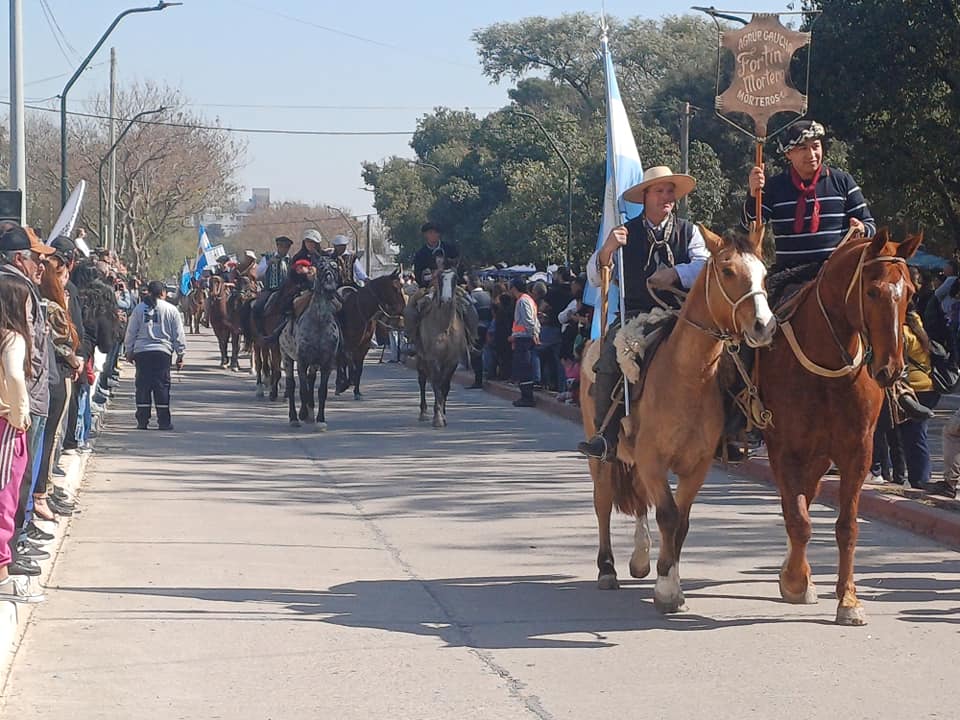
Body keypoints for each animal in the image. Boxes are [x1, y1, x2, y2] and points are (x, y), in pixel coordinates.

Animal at [279, 258, 342, 429]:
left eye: (335, 267)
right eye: (320, 268)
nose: (330, 288)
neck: (319, 322)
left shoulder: (326, 363)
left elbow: (321, 391)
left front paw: (320, 419)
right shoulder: (302, 361)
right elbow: (303, 390)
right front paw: (302, 414)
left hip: (314, 364)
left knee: (310, 380)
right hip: (286, 357)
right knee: (292, 385)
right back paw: (294, 417)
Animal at [335, 269, 406, 400]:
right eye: (395, 288)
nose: (404, 308)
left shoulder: (364, 346)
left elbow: (359, 368)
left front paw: (357, 392)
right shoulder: (348, 345)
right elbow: (351, 364)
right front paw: (346, 384)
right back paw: (340, 384)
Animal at [408, 267, 473, 428]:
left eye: (455, 278)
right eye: (439, 277)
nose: (446, 300)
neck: (445, 327)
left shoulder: (452, 361)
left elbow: (445, 385)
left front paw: (442, 413)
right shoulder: (433, 359)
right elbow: (437, 384)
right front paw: (437, 417)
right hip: (421, 358)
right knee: (423, 381)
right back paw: (423, 412)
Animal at [580, 226, 776, 613]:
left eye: (764, 273)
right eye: (728, 271)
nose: (764, 326)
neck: (687, 376)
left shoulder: (695, 465)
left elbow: (681, 521)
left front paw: (668, 578)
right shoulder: (653, 459)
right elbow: (667, 515)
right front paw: (668, 589)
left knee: (640, 499)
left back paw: (640, 558)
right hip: (603, 455)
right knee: (604, 501)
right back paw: (607, 568)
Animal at [758, 229, 920, 626]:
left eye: (910, 292)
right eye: (872, 291)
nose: (891, 369)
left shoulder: (857, 451)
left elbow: (847, 527)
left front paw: (848, 599)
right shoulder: (783, 447)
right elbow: (799, 519)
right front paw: (796, 581)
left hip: (819, 457)